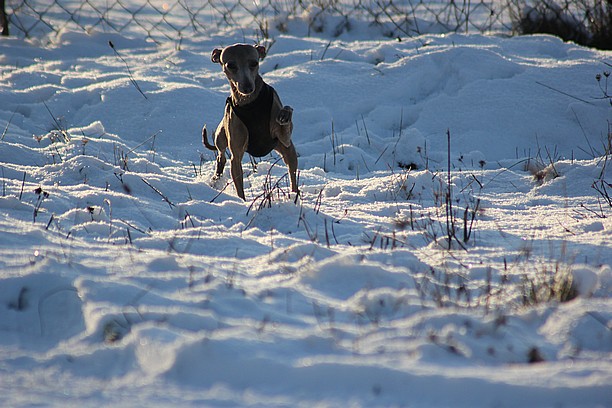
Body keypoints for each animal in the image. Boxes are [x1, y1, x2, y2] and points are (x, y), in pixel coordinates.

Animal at [203, 43, 298, 201]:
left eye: (254, 63)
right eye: (231, 65)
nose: (247, 87)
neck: (250, 103)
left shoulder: (284, 138)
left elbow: (286, 114)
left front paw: (284, 114)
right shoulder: (236, 156)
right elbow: (239, 185)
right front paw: (242, 202)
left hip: (287, 150)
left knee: (292, 173)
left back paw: (295, 195)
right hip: (220, 137)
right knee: (221, 156)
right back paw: (216, 177)